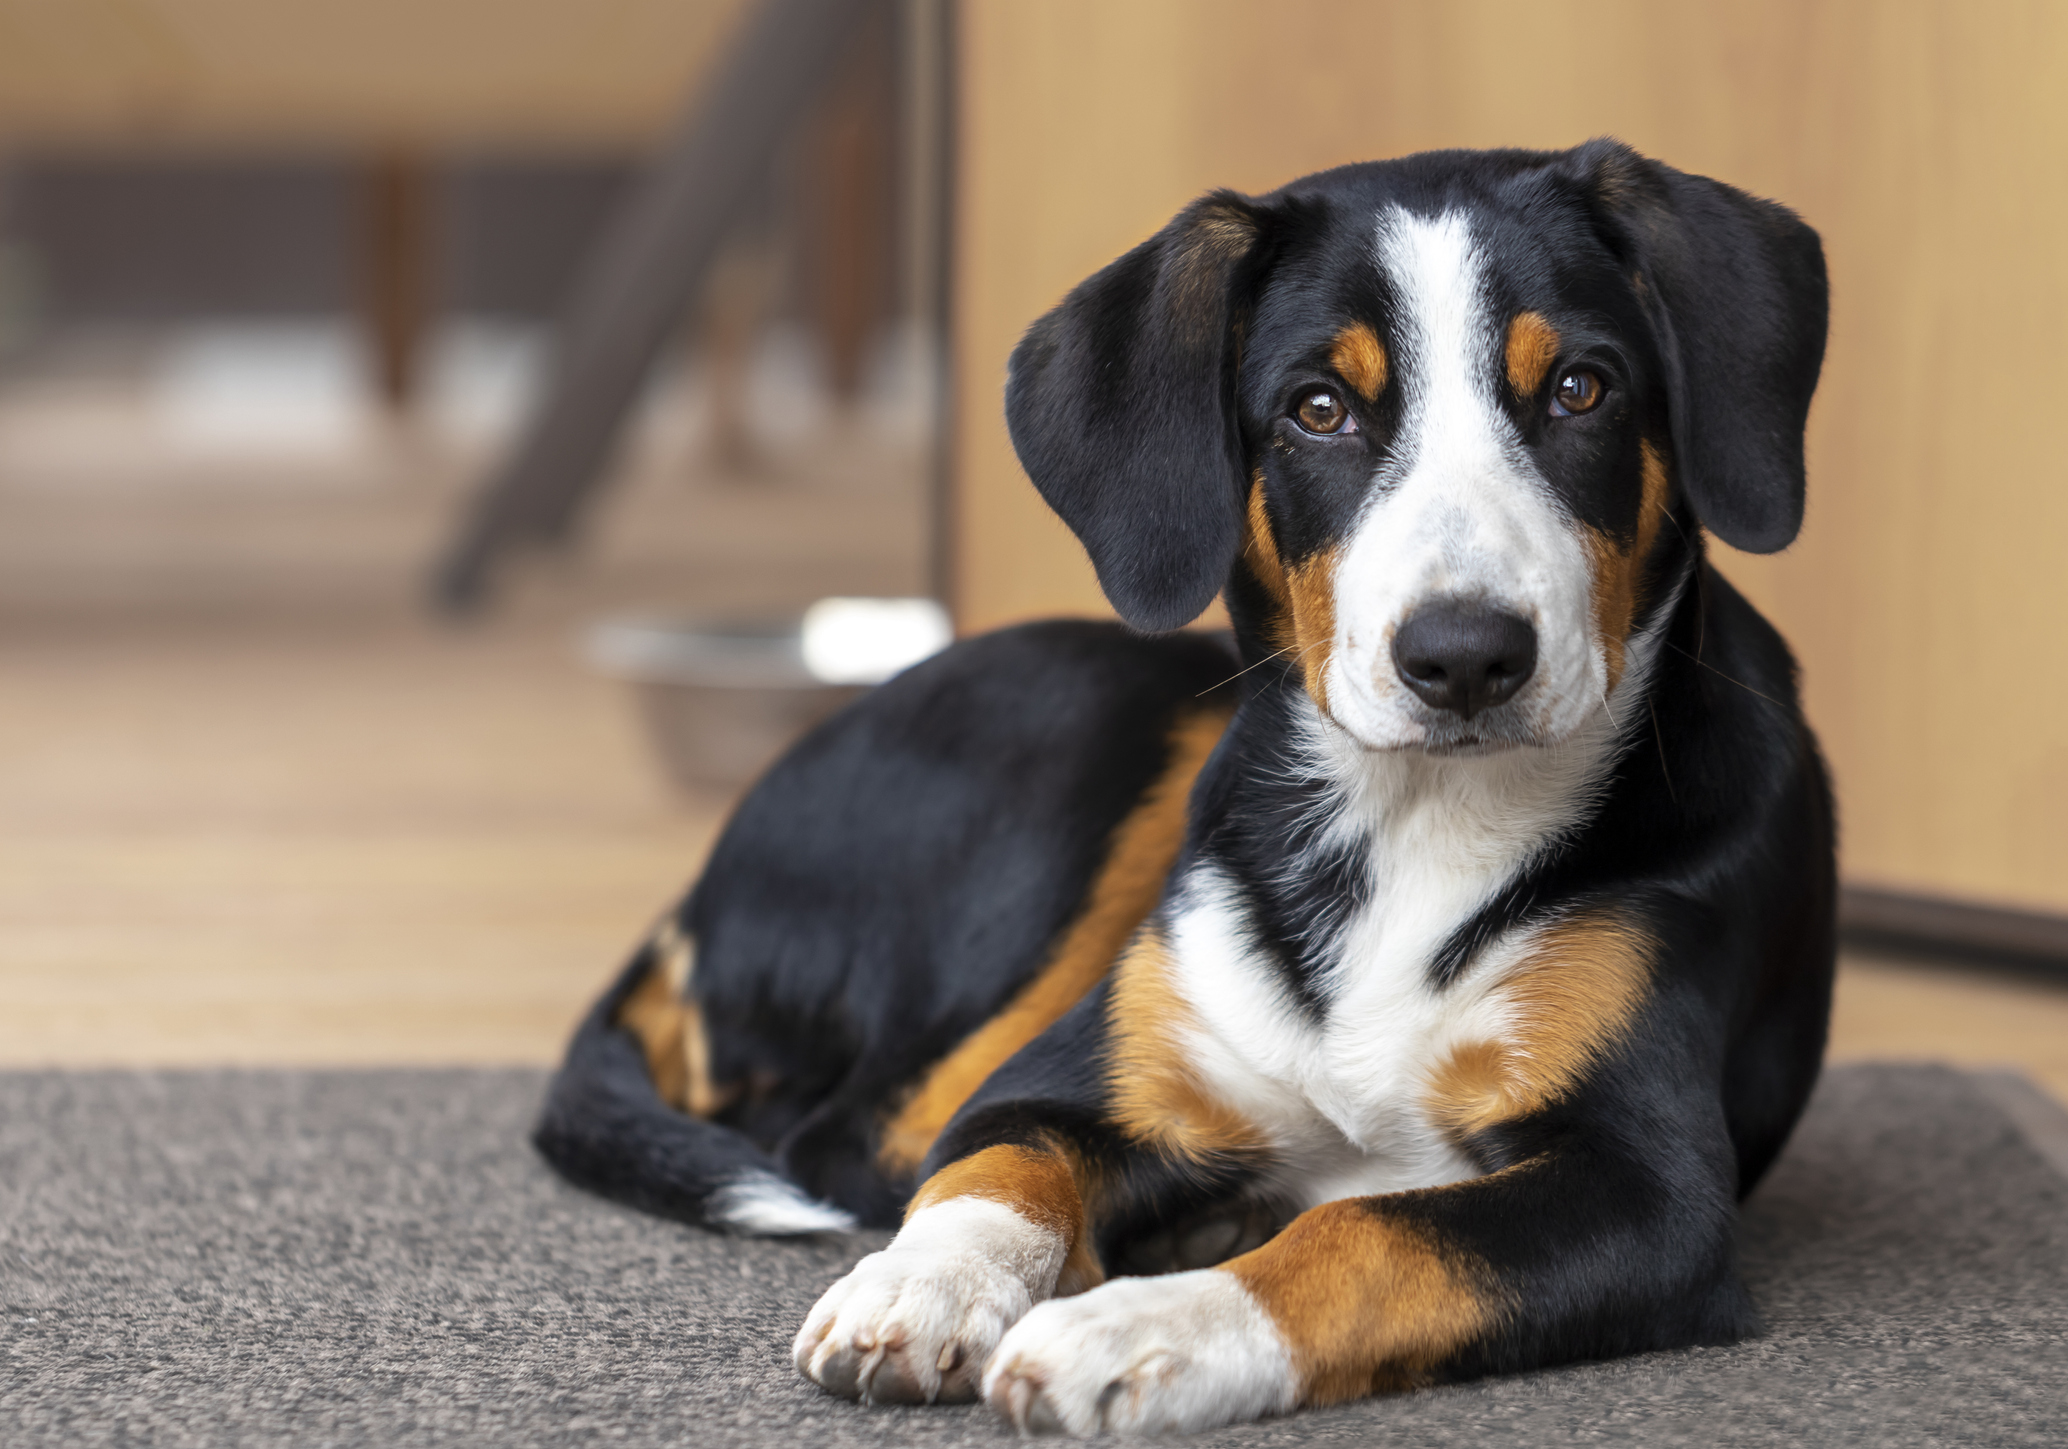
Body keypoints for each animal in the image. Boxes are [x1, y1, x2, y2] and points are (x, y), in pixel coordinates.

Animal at [537, 141, 1844, 1430]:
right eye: (1319, 409)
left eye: (1580, 389)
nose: (1466, 655)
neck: (1411, 824)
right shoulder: (1063, 1082)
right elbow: (988, 1164)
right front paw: (921, 1289)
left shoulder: (1647, 1186)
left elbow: (1370, 1230)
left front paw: (1137, 1331)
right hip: (1091, 729)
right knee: (853, 1129)